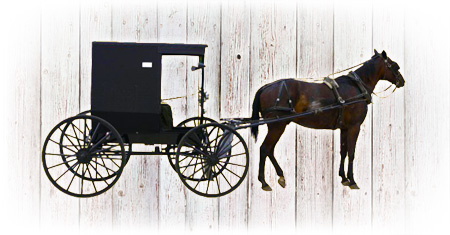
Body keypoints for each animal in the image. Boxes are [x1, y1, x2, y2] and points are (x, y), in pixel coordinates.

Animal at [250, 49, 404, 191]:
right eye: (395, 66)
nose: (402, 81)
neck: (357, 87)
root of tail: (265, 87)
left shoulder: (345, 127)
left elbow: (343, 151)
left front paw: (343, 178)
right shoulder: (354, 126)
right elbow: (351, 152)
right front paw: (352, 180)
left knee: (269, 150)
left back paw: (280, 175)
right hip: (277, 126)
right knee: (265, 149)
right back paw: (264, 182)